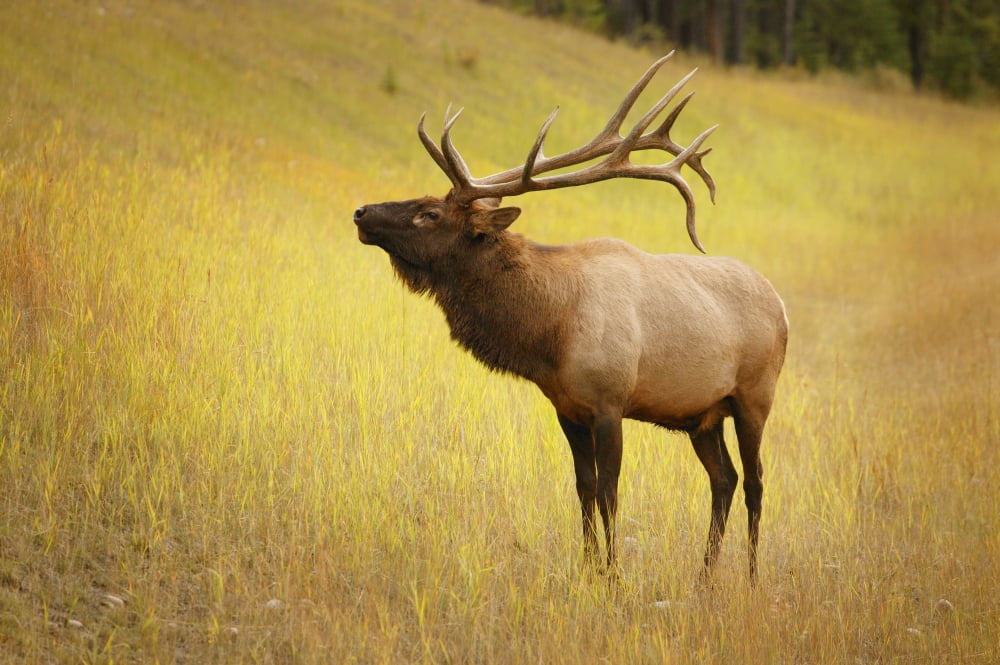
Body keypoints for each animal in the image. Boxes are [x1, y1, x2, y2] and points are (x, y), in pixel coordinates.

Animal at [353, 52, 788, 582]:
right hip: (702, 415)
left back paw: (750, 578)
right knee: (723, 479)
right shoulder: (566, 408)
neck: (550, 334)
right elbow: (582, 487)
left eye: (430, 213)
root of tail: (781, 305)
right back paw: (703, 578)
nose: (361, 212)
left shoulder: (610, 401)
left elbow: (609, 492)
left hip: (754, 396)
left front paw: (615, 577)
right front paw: (589, 570)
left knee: (755, 482)